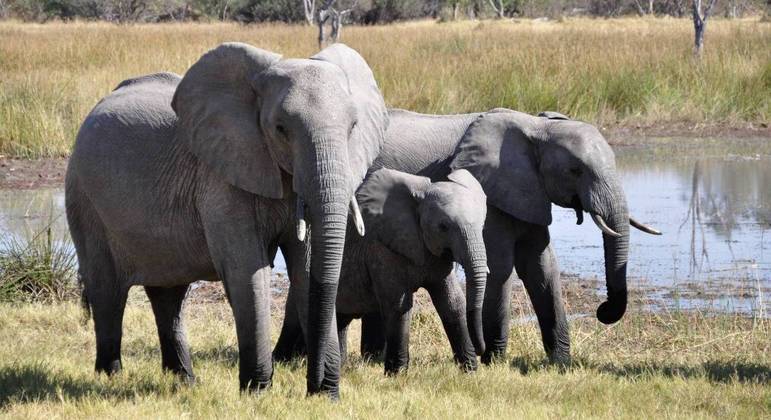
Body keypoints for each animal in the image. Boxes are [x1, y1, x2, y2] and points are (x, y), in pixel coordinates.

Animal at [64, 41, 390, 398]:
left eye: (353, 127)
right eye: (280, 129)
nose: (319, 387)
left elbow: (305, 269)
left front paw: (322, 395)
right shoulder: (221, 179)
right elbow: (247, 271)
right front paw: (257, 392)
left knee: (169, 295)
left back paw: (184, 381)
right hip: (83, 198)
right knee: (107, 290)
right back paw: (110, 376)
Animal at [274, 167, 486, 374]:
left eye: (482, 224)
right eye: (443, 227)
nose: (481, 350)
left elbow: (452, 303)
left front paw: (470, 371)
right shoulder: (381, 249)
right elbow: (398, 306)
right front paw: (397, 375)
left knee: (340, 320)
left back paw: (337, 365)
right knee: (295, 318)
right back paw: (282, 361)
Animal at [302, 107, 664, 364]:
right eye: (576, 170)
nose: (603, 311)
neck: (536, 127)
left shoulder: (528, 193)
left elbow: (541, 267)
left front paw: (562, 363)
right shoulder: (492, 191)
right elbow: (501, 266)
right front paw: (495, 361)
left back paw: (372, 360)